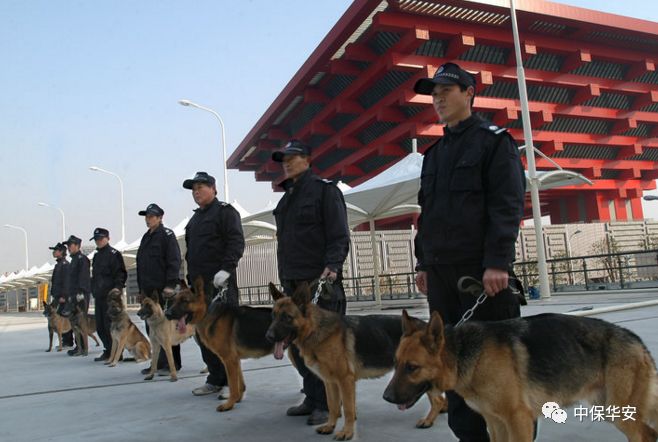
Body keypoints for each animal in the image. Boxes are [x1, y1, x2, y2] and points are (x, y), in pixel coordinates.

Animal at [167, 278, 276, 412]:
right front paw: (238, 399)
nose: (167, 314)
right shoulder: (235, 360)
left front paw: (229, 405)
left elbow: (233, 386)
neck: (207, 313)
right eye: (174, 300)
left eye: (185, 301)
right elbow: (240, 384)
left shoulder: (229, 360)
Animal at [266, 282, 446, 440]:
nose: (268, 336)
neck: (315, 330)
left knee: (438, 400)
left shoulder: (345, 380)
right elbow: (332, 406)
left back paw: (428, 421)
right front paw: (330, 426)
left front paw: (347, 432)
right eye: (273, 316)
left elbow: (348, 409)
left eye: (287, 318)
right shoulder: (330, 382)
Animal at [380, 310, 656, 442]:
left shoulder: (518, 420)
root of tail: (637, 341)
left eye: (412, 367)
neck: (466, 355)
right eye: (396, 363)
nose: (386, 397)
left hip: (619, 411)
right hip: (609, 408)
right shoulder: (496, 422)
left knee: (644, 435)